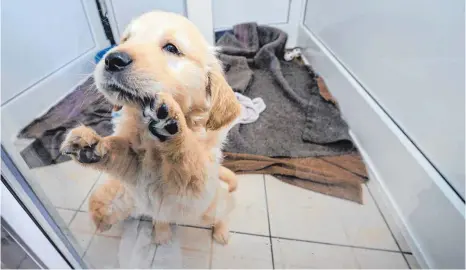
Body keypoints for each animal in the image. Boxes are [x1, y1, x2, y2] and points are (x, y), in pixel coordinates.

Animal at [60, 10, 240, 244]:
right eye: (125, 39)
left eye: (171, 48)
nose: (112, 59)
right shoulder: (135, 168)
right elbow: (117, 149)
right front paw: (91, 146)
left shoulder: (196, 186)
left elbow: (188, 159)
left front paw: (171, 124)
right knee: (149, 215)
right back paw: (159, 233)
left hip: (211, 206)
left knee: (221, 213)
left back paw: (220, 231)